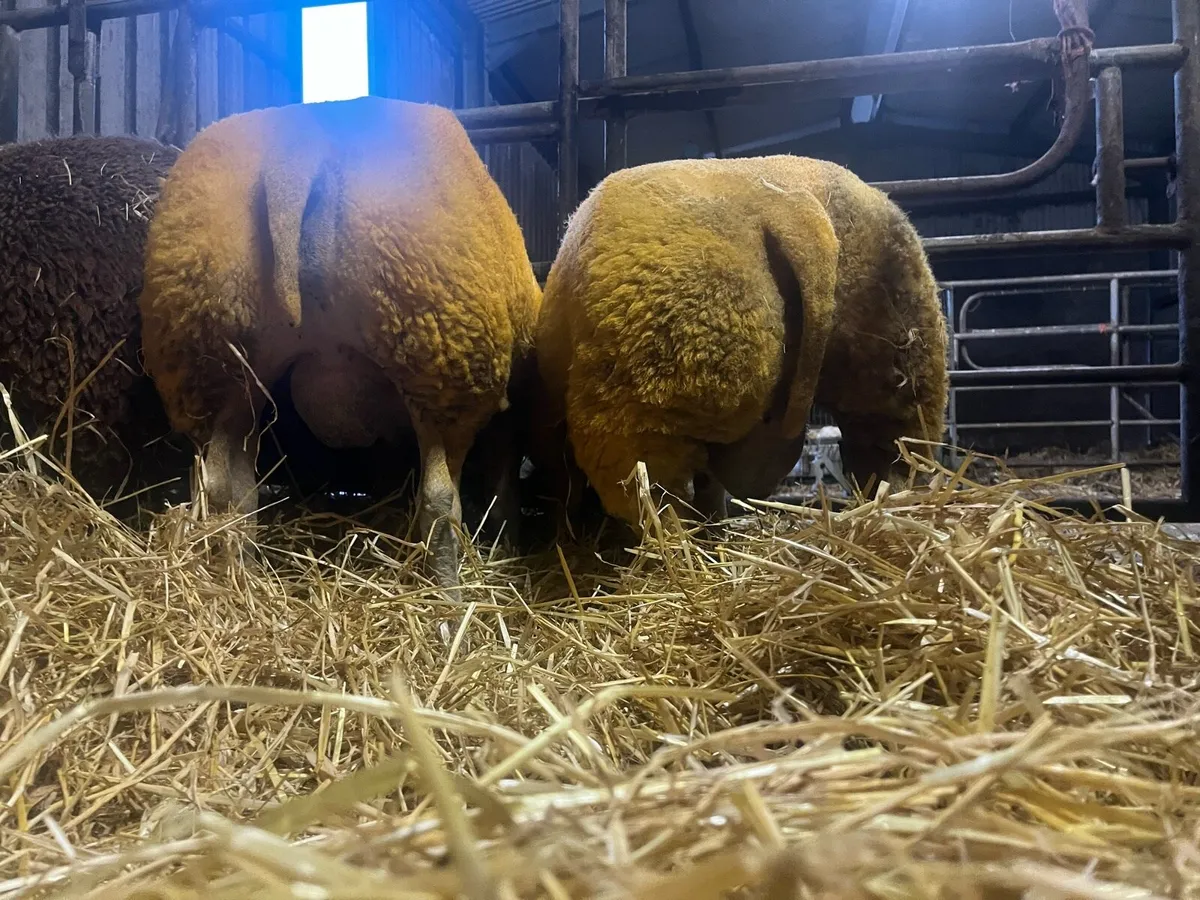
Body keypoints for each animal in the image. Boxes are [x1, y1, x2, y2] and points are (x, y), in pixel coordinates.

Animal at [139, 95, 542, 587]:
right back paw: (448, 593)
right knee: (438, 499)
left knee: (227, 491)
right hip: (439, 363)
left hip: (216, 365)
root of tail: (298, 152)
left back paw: (240, 578)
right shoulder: (505, 417)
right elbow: (501, 490)